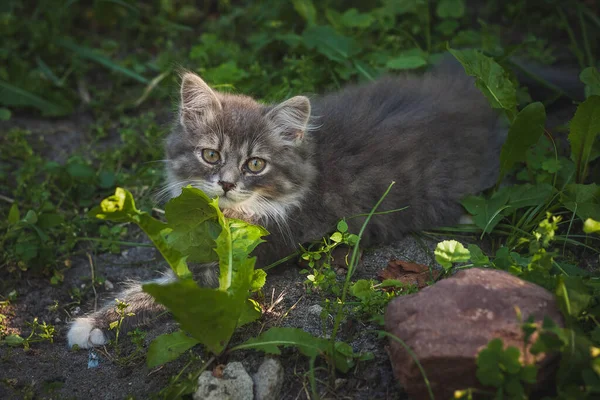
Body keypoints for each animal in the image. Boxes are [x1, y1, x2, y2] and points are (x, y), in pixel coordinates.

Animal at [68, 65, 504, 346]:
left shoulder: (247, 256)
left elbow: (165, 289)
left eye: (255, 164)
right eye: (211, 155)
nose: (226, 183)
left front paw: (92, 324)